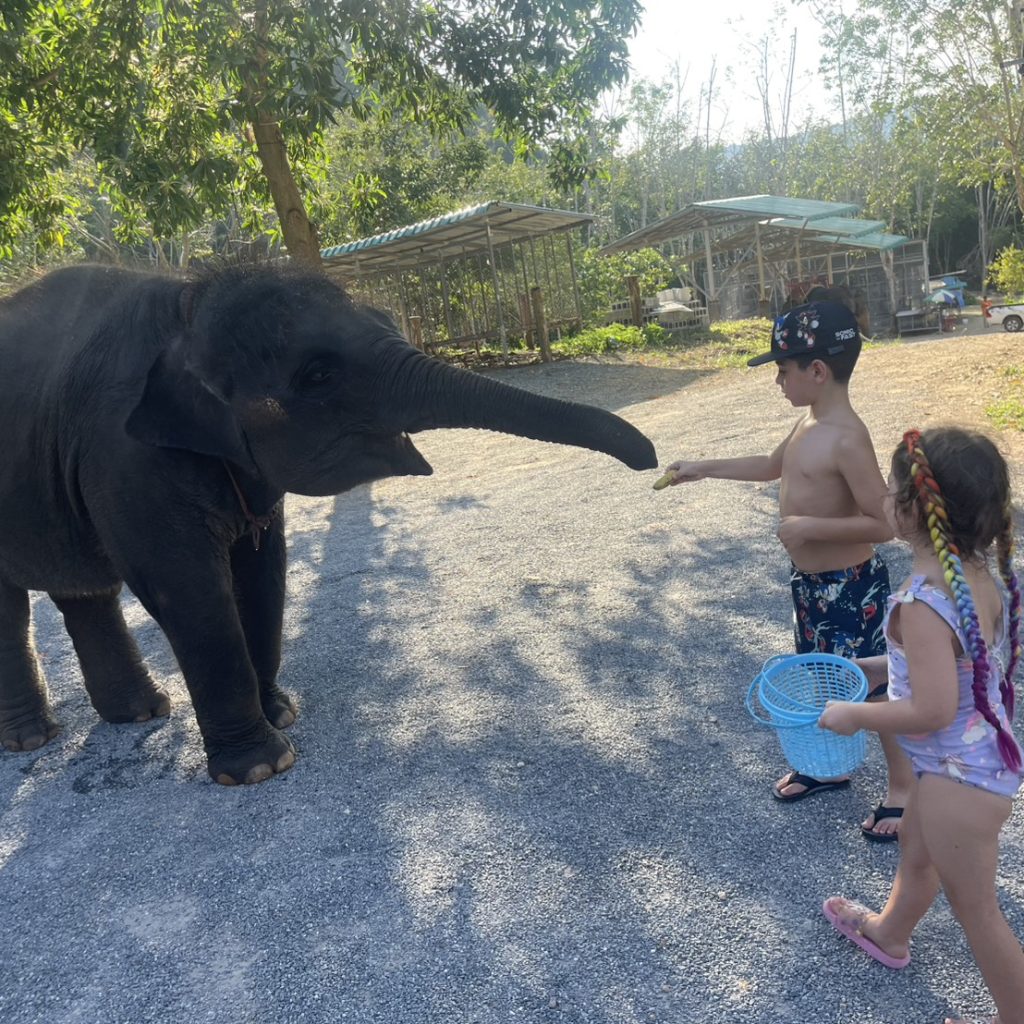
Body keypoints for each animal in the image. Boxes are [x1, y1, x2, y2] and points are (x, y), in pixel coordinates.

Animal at [0, 262, 657, 785]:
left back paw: (141, 713)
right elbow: (186, 590)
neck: (184, 305)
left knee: (85, 592)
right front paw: (262, 767)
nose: (650, 462)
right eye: (318, 374)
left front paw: (281, 713)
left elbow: (263, 572)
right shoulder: (124, 459)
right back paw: (34, 740)